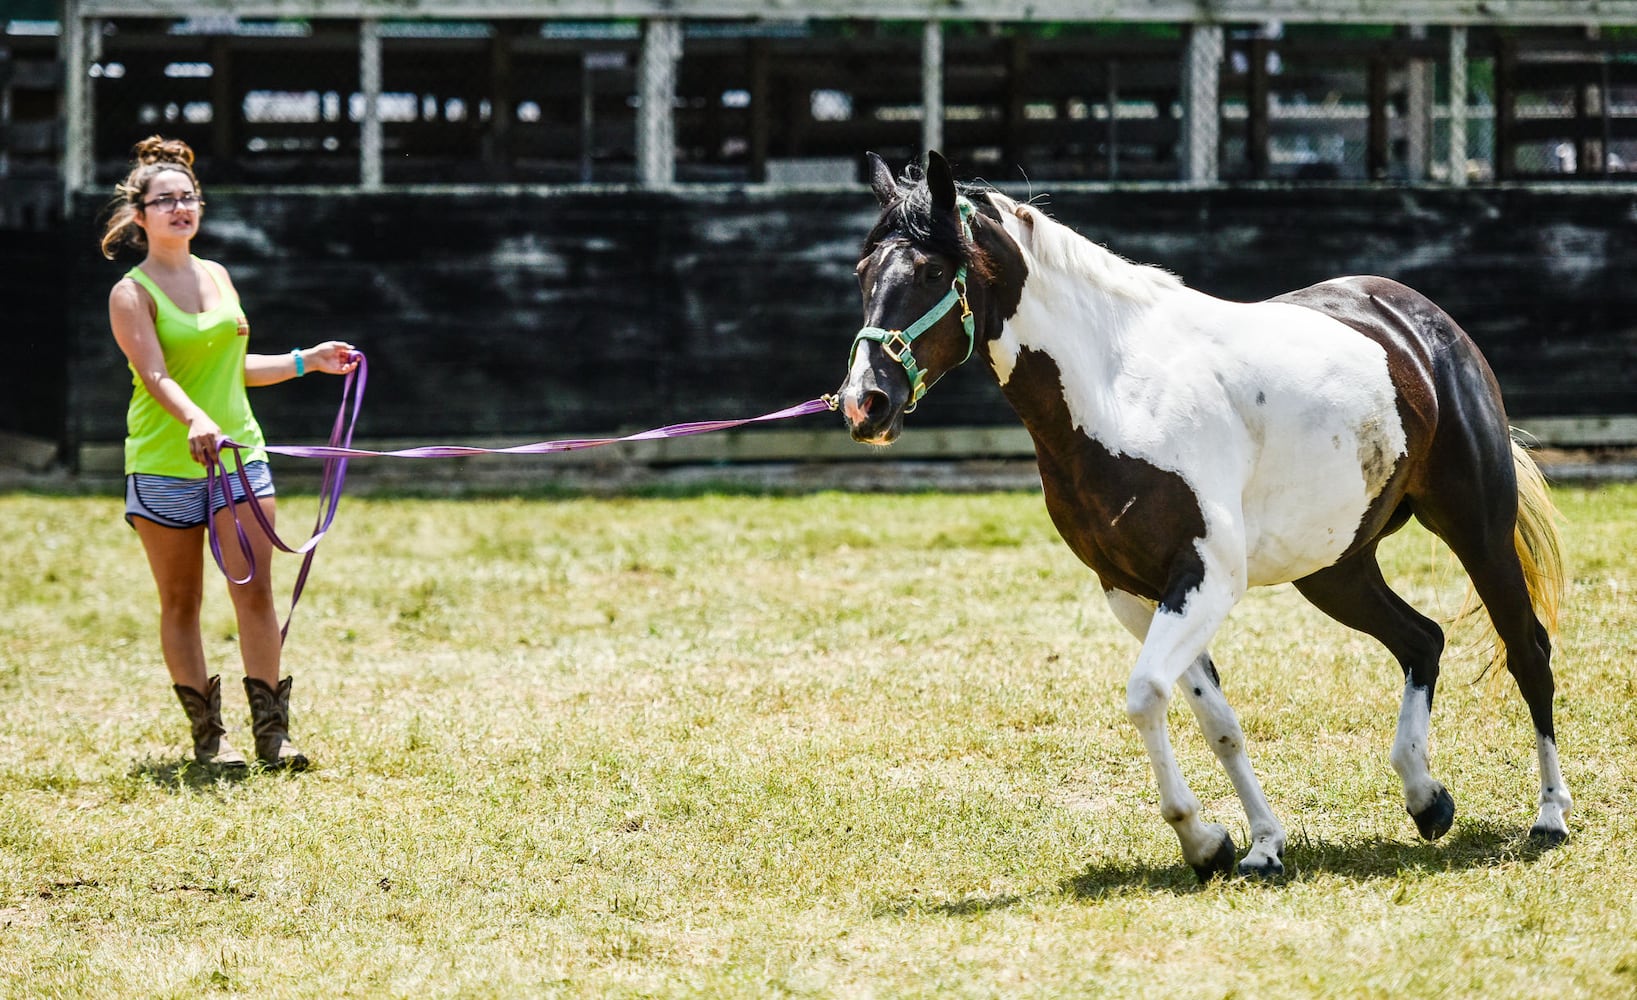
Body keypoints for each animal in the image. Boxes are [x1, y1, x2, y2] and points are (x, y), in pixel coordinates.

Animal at [838, 152, 1564, 877]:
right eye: (862, 273)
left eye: (932, 272)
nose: (863, 403)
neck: (1118, 388)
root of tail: (1418, 320)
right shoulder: (1134, 591)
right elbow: (1216, 721)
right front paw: (1253, 845)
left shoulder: (1204, 579)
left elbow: (1144, 696)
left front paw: (1199, 836)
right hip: (1335, 567)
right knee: (1422, 640)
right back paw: (1425, 799)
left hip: (1476, 528)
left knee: (1526, 650)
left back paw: (1549, 817)